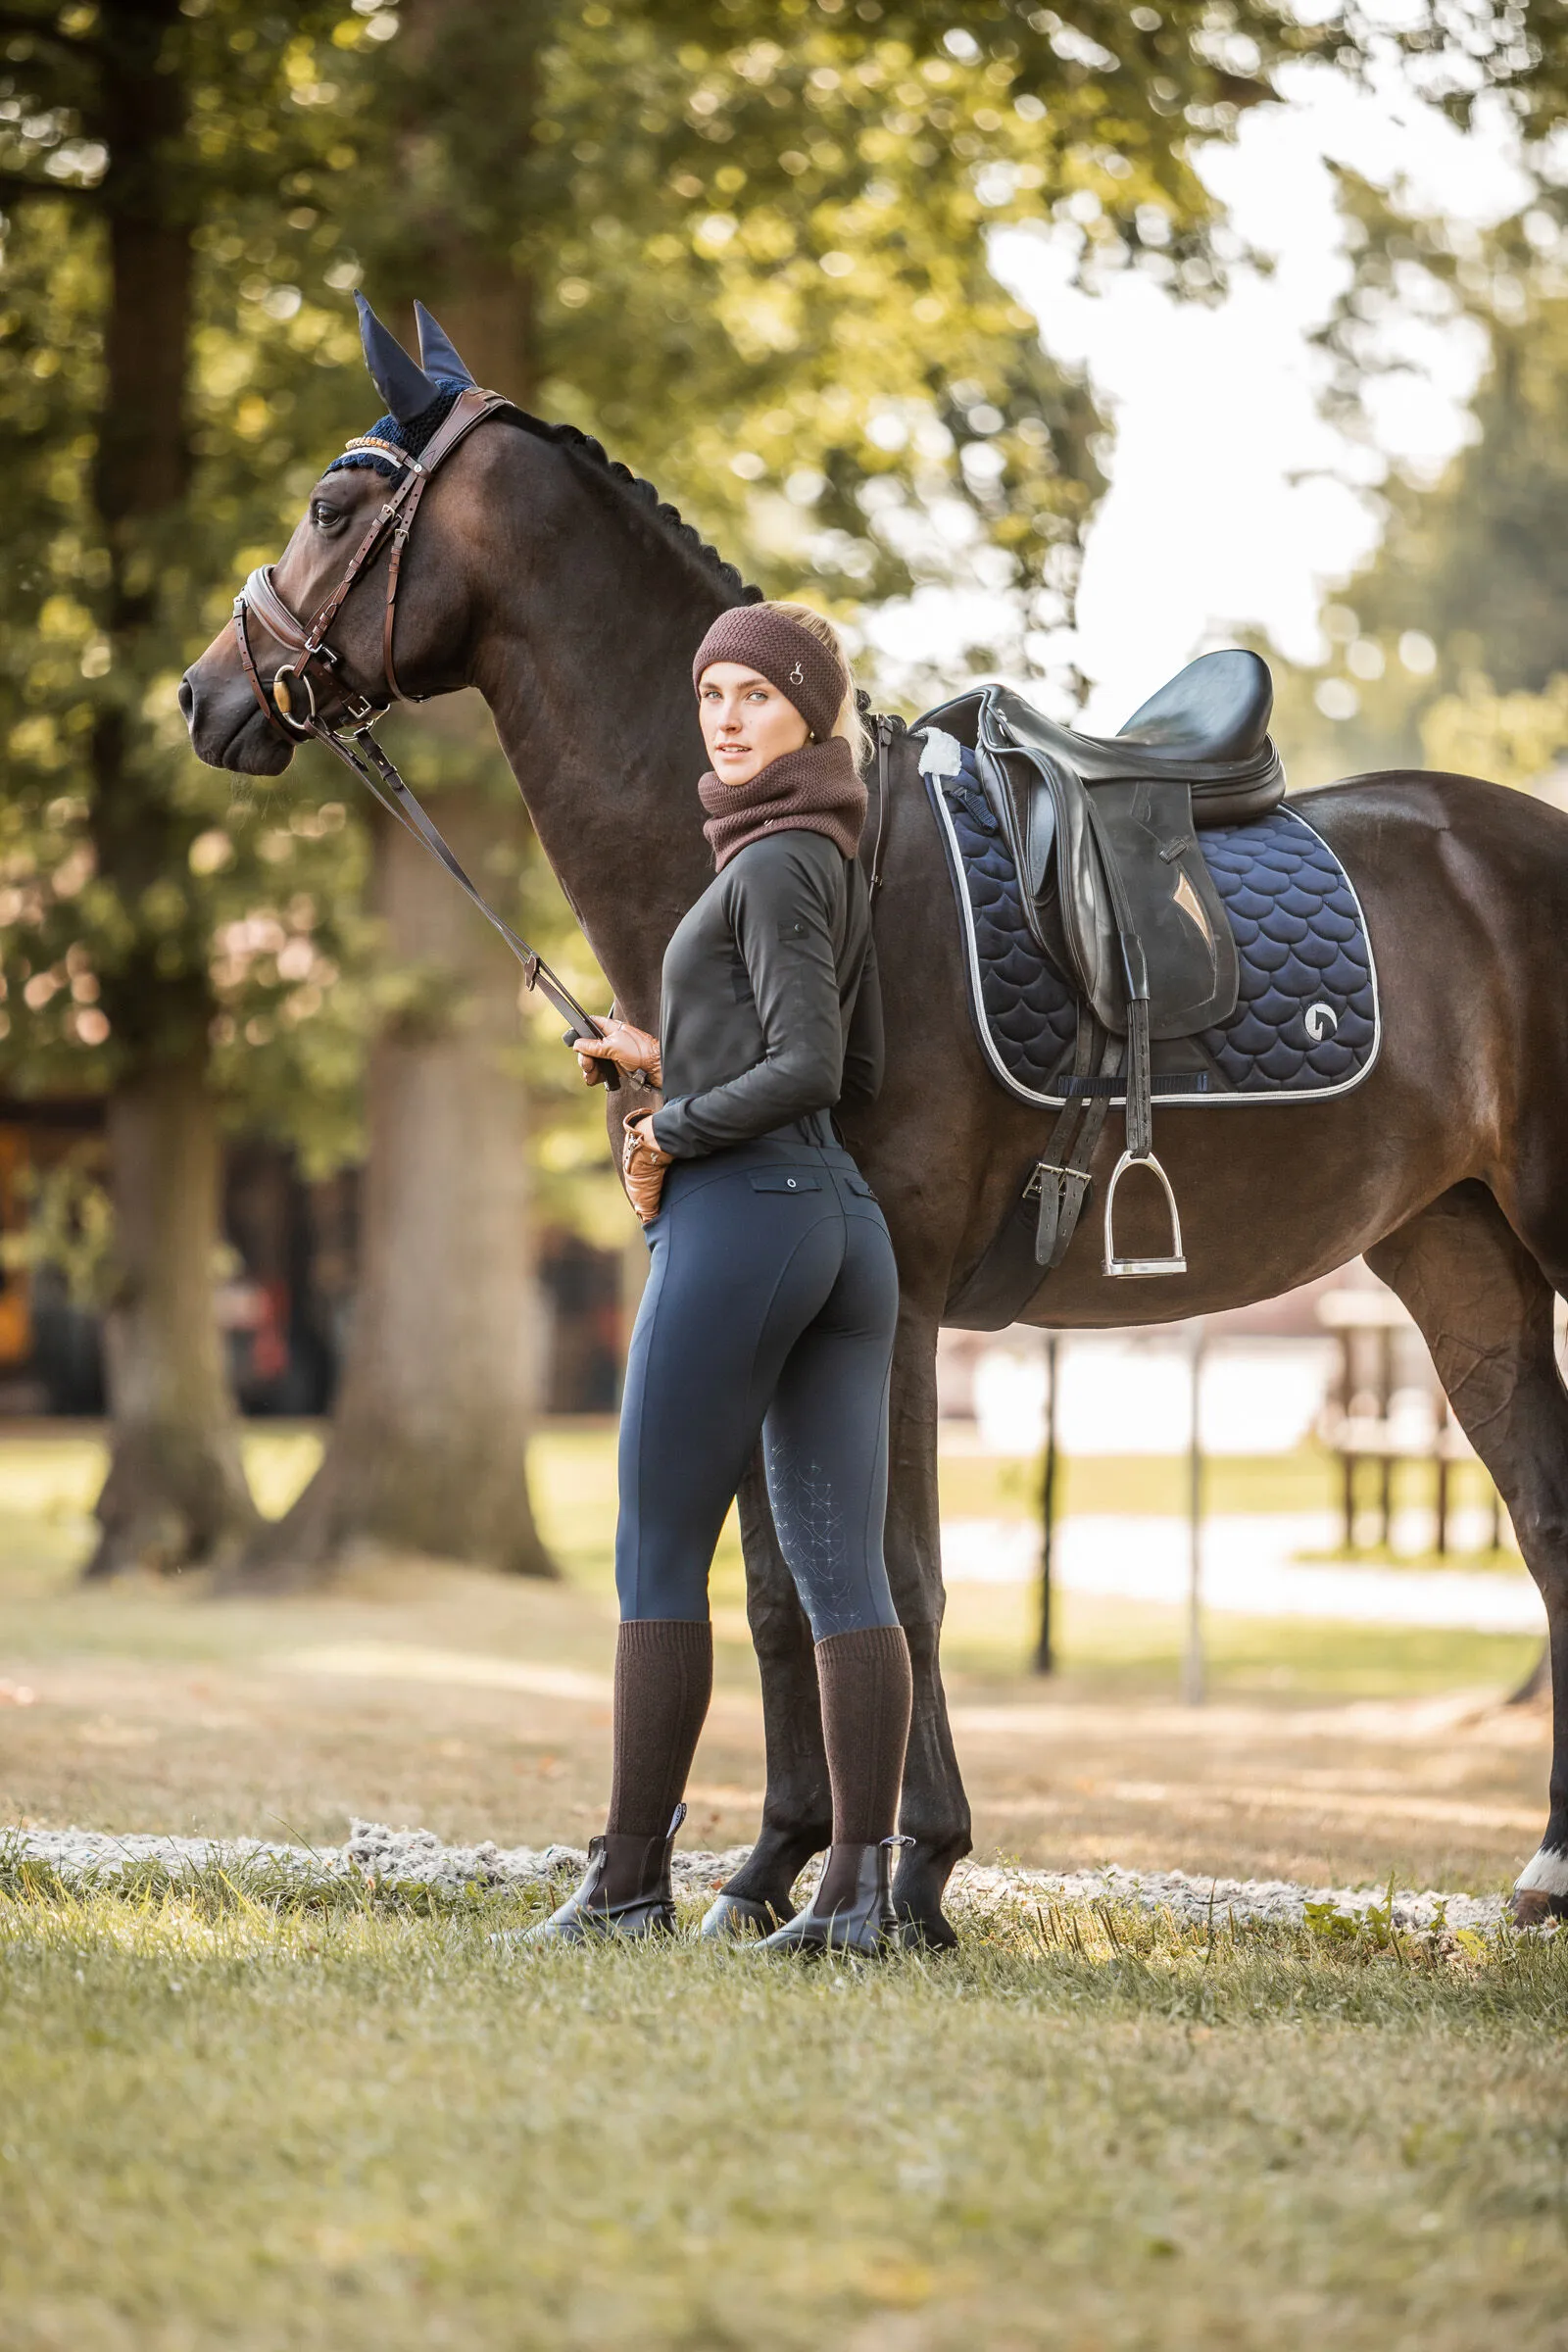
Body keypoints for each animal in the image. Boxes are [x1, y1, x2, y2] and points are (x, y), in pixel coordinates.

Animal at [180, 380, 1568, 1929]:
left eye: (330, 508)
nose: (205, 693)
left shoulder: (890, 1300)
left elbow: (895, 1576)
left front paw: (907, 1882)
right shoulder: (748, 1298)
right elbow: (782, 1583)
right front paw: (771, 1868)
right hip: (1458, 1259)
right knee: (1551, 1526)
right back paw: (1547, 1870)